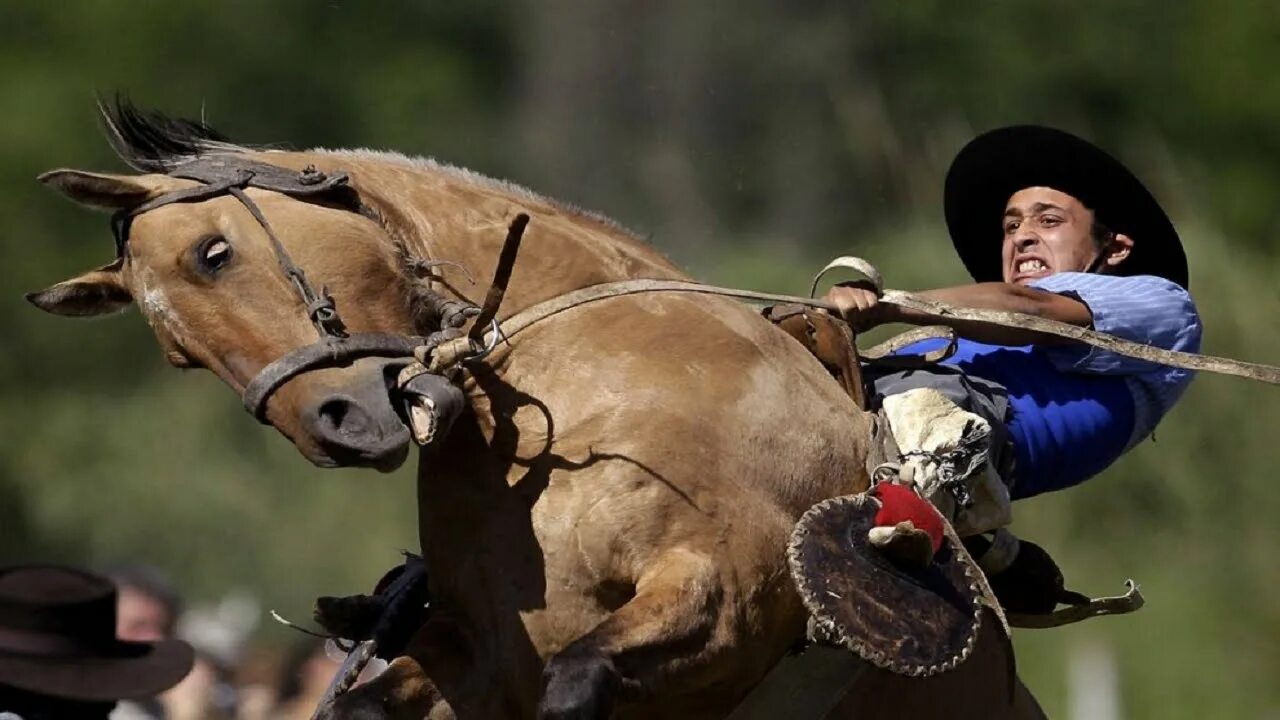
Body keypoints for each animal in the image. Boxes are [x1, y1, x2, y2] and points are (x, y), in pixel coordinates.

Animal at [30, 103, 1044, 712]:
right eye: (178, 353)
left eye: (214, 252)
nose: (337, 427)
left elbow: (583, 675)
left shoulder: (730, 592)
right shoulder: (474, 654)